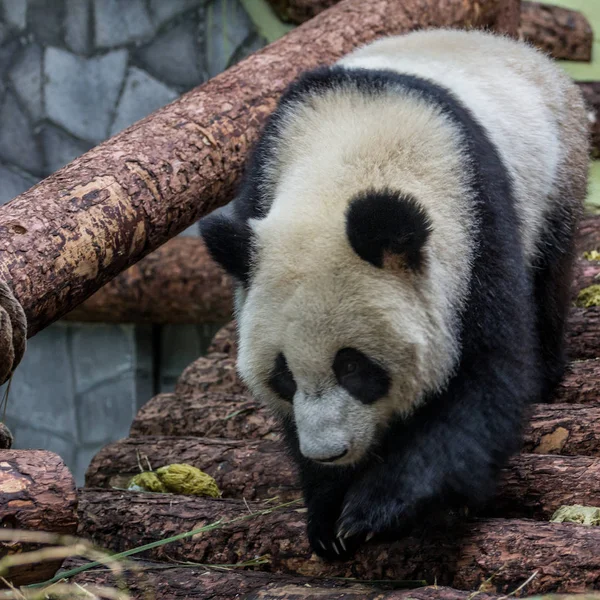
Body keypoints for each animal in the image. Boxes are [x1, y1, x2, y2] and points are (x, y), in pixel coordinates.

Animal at [199, 28, 588, 560]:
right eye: (283, 375)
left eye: (353, 366)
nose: (330, 452)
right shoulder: (264, 179)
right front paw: (327, 513)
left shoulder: (477, 221)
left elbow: (486, 377)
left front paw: (375, 510)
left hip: (556, 176)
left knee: (548, 278)